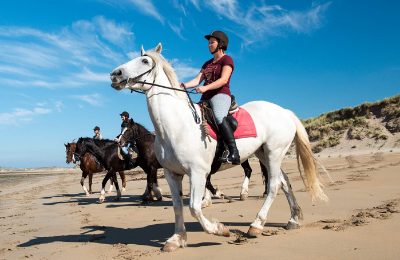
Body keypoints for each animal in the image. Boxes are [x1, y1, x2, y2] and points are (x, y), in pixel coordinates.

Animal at [109, 43, 328, 251]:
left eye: (145, 61)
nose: (115, 74)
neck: (176, 126)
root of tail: (285, 111)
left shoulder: (197, 172)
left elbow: (194, 207)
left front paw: (219, 229)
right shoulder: (172, 174)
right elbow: (178, 206)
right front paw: (177, 239)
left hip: (274, 152)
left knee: (274, 185)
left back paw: (256, 225)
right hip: (264, 153)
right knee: (284, 182)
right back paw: (293, 219)